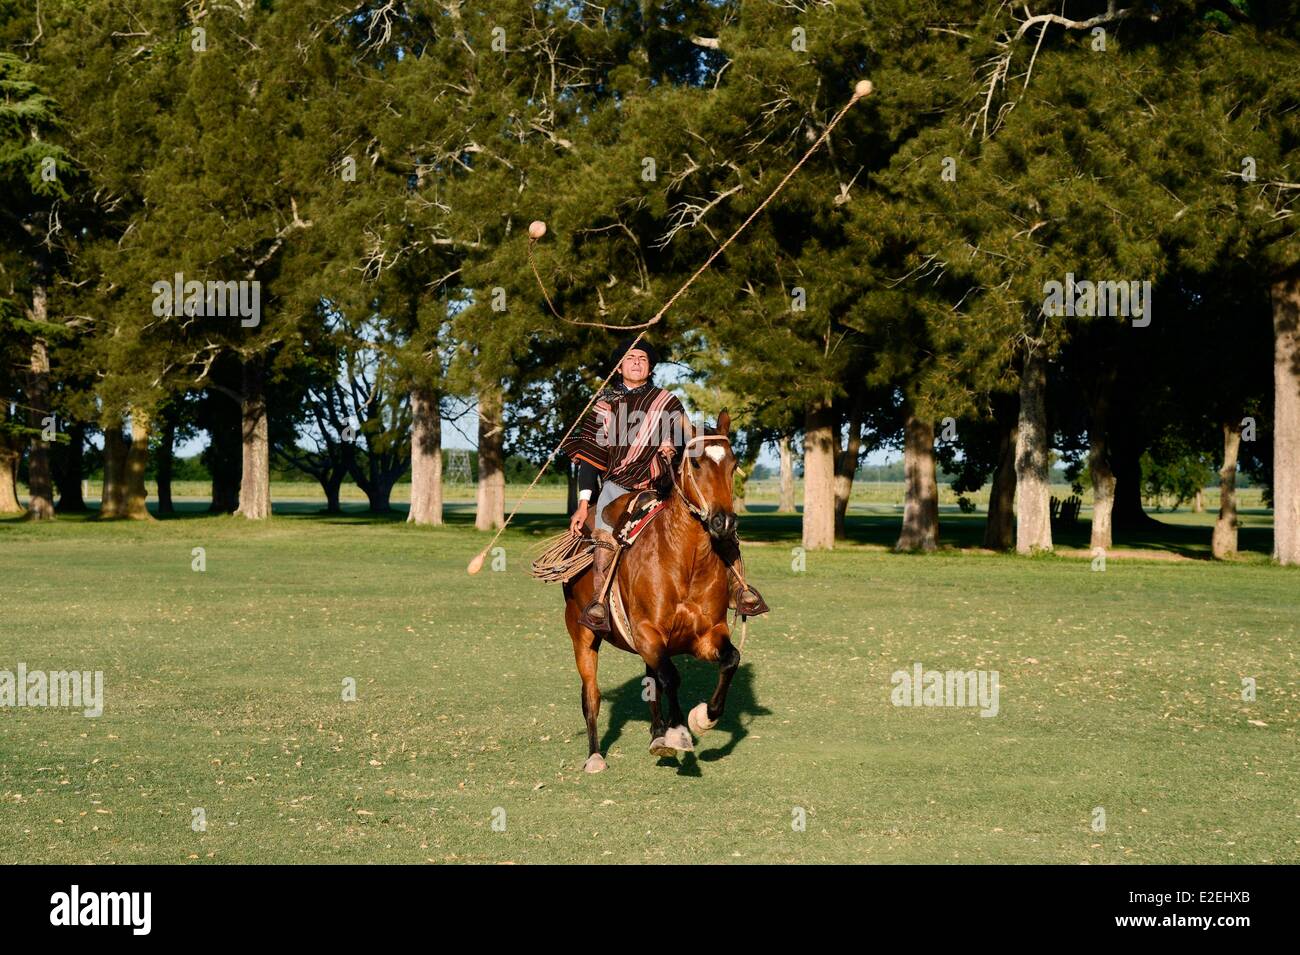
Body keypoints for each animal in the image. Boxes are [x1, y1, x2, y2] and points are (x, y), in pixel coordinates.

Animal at [564, 407, 748, 769]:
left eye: (733, 463)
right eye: (696, 463)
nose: (724, 522)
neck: (685, 564)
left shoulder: (706, 634)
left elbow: (730, 659)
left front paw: (702, 719)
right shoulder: (648, 633)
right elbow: (672, 677)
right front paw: (678, 733)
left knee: (652, 681)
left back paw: (657, 733)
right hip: (582, 635)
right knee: (591, 694)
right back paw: (595, 755)